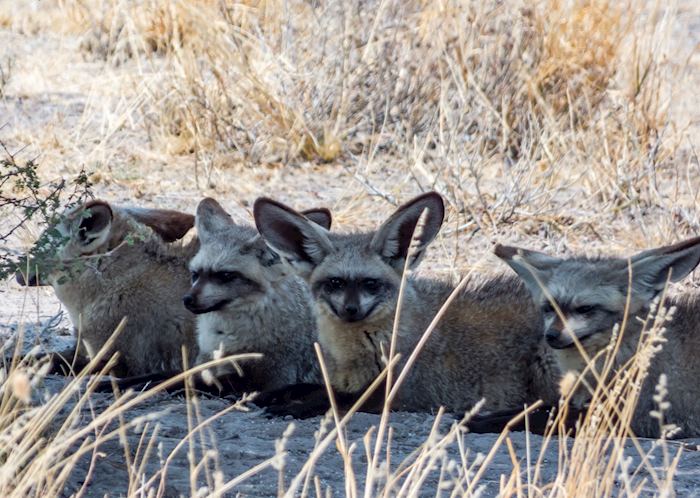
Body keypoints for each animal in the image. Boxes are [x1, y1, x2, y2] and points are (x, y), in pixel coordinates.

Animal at [253, 192, 560, 415]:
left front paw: (293, 408)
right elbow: (309, 386)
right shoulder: (343, 379)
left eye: (371, 284)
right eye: (335, 283)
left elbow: (334, 400)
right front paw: (274, 394)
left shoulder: (394, 392)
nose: (350, 310)